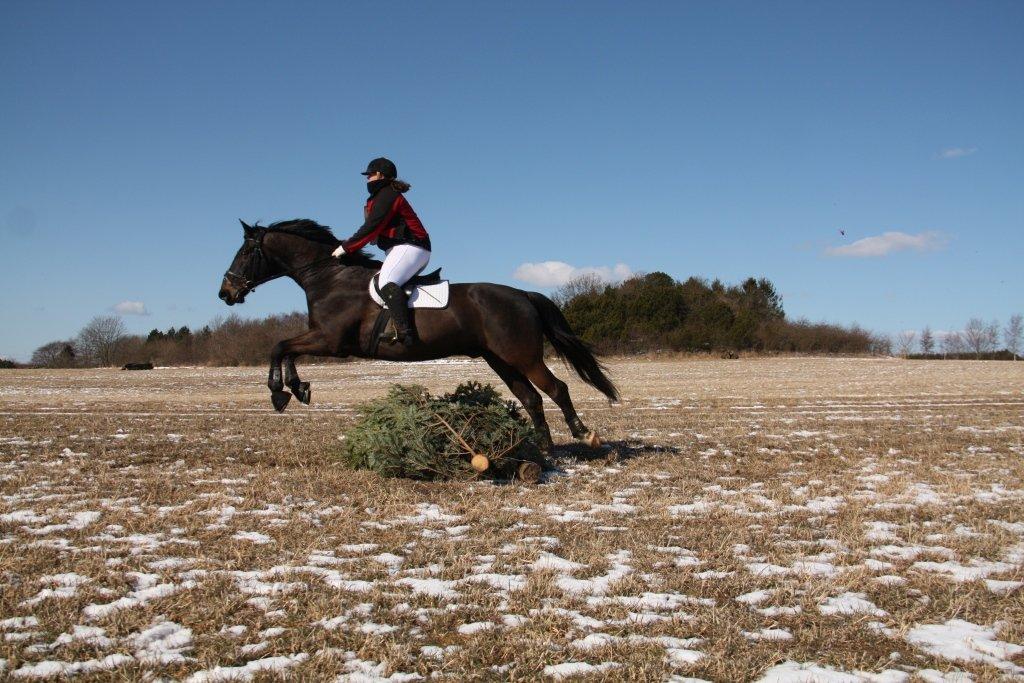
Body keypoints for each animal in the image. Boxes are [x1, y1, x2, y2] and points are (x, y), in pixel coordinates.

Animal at [218, 219, 614, 454]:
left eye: (246, 252)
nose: (226, 293)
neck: (328, 277)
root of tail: (523, 294)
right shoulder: (322, 339)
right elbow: (284, 349)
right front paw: (295, 389)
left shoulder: (330, 341)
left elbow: (279, 346)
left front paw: (281, 391)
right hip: (500, 360)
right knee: (531, 398)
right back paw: (545, 449)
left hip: (523, 356)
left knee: (556, 389)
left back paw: (584, 434)